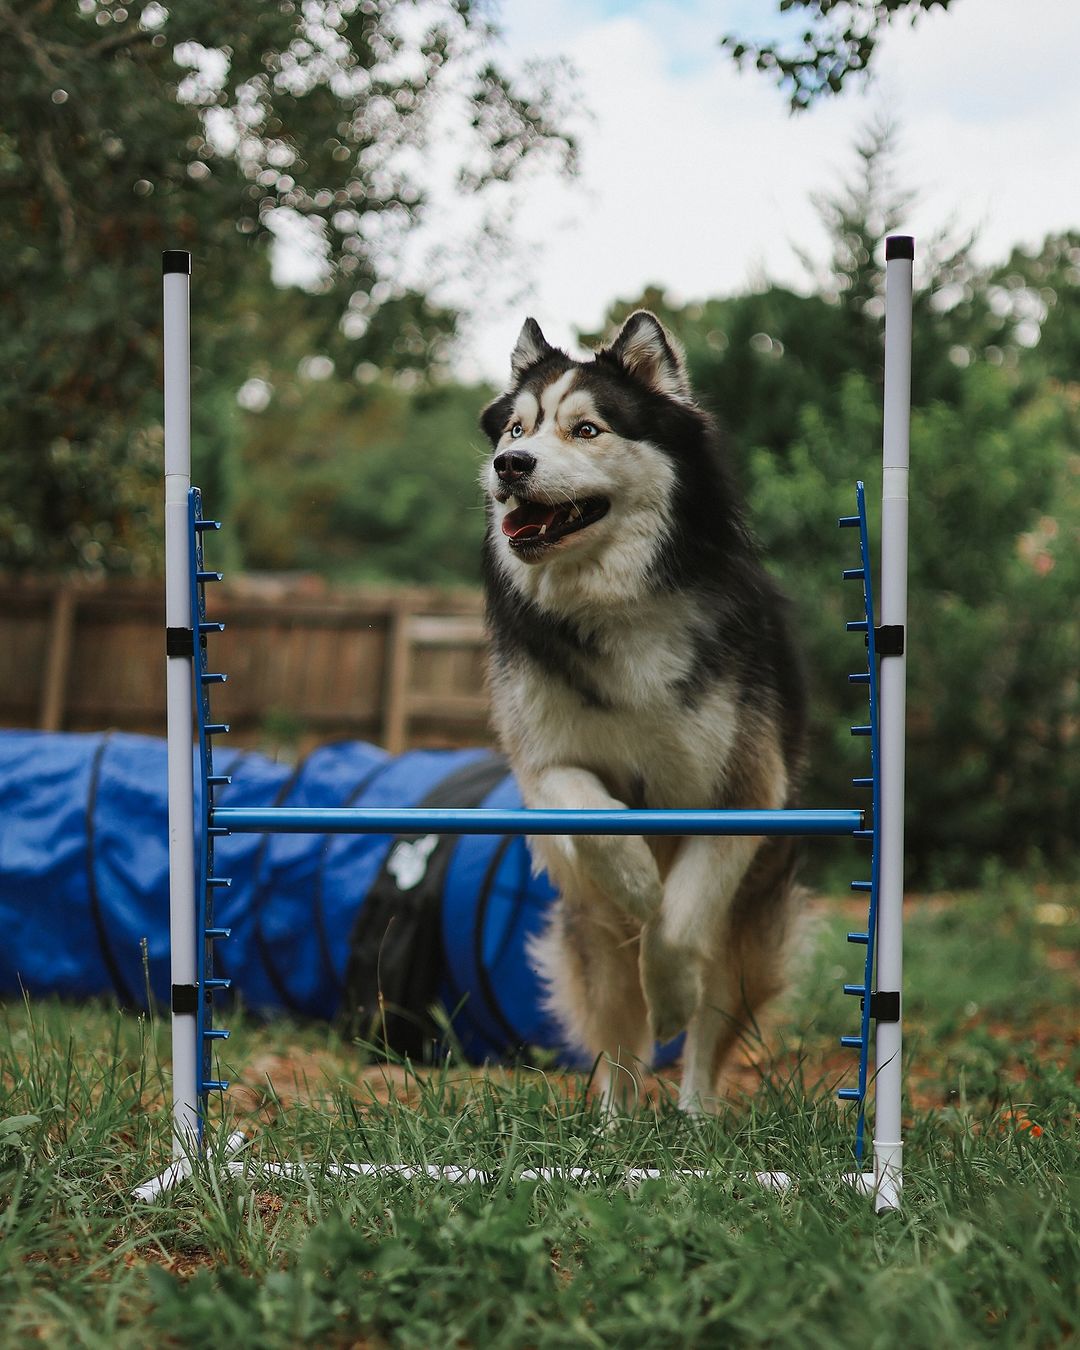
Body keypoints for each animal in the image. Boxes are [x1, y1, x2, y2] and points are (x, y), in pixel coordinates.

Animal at [477, 310, 799, 1112]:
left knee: (708, 1032)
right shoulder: (544, 764)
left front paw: (671, 984)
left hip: (746, 939)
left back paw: (696, 1117)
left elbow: (677, 925)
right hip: (592, 940)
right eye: (516, 429)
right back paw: (613, 1125)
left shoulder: (747, 792)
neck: (616, 603)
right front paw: (636, 878)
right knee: (619, 1039)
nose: (510, 466)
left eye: (586, 429)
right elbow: (593, 813)